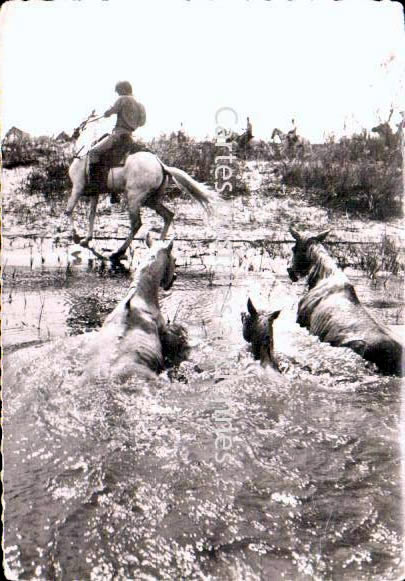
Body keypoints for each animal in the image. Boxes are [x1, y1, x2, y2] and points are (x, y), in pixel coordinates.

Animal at [64, 122, 216, 258]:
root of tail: (160, 164)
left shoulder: (77, 188)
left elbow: (69, 211)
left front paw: (76, 236)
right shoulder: (94, 194)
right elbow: (92, 215)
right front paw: (86, 239)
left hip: (134, 198)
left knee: (136, 224)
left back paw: (119, 252)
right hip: (150, 200)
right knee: (168, 215)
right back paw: (158, 246)